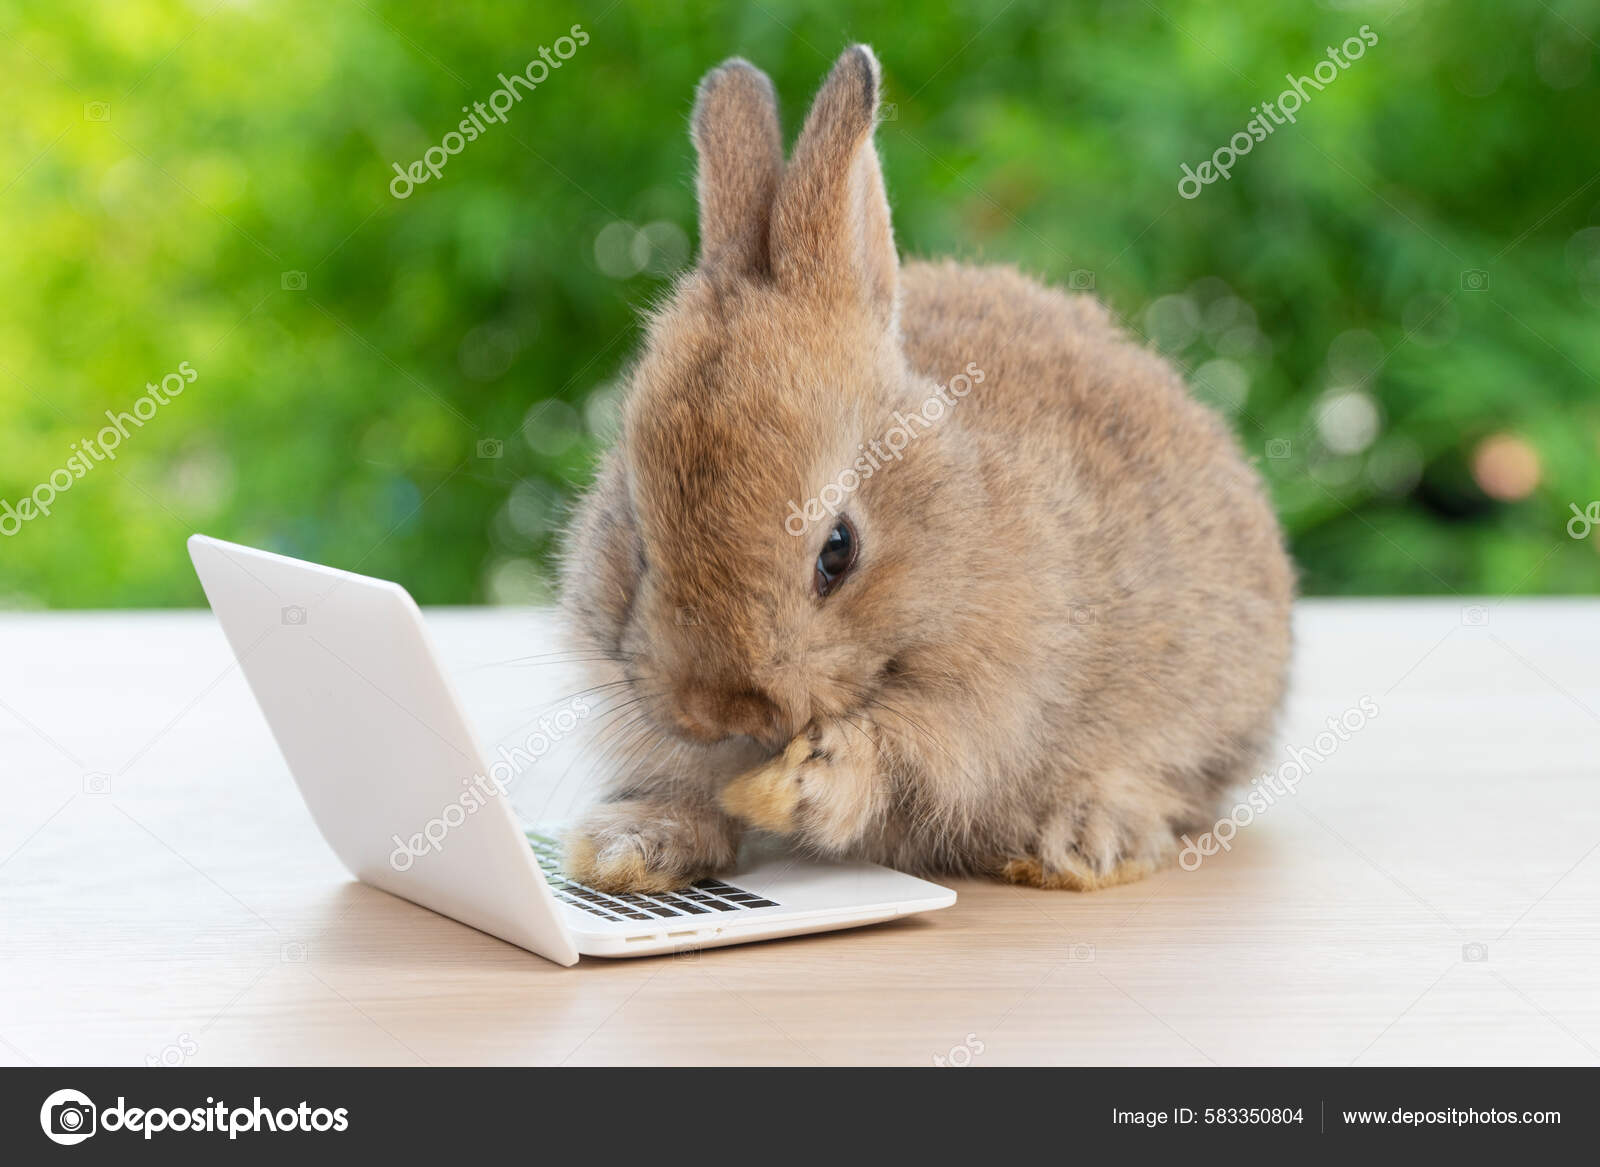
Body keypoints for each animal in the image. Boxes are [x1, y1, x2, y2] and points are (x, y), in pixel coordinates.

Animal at [557, 44, 1294, 895]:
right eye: (638, 545)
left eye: (837, 551)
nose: (717, 708)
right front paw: (631, 844)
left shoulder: (980, 705)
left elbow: (902, 756)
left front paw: (802, 785)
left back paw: (1081, 840)